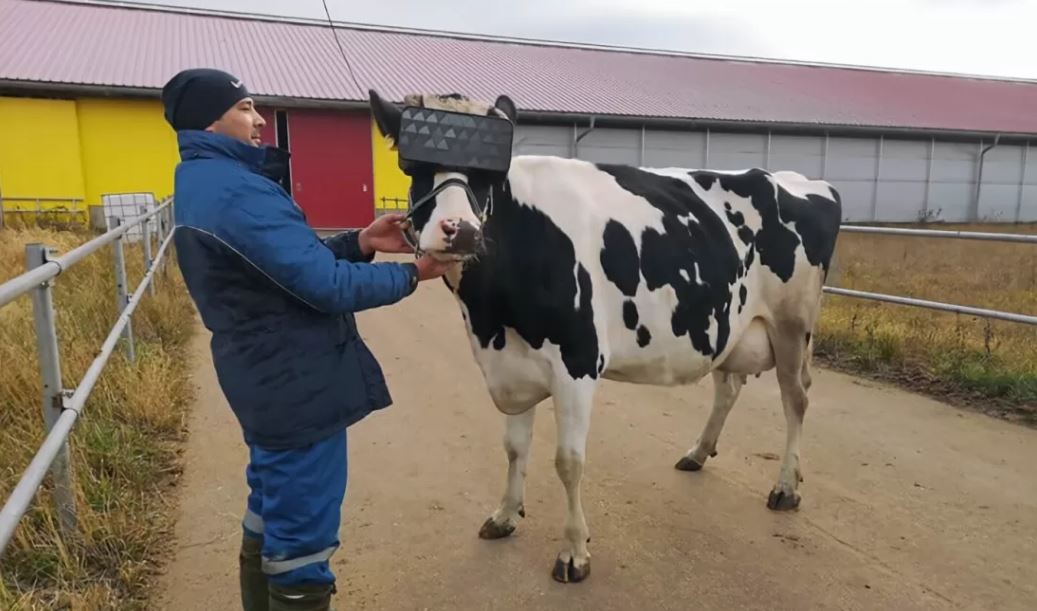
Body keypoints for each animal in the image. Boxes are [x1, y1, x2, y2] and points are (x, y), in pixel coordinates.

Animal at [371, 89, 842, 580]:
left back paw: (786, 487)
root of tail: (801, 181)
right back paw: (698, 452)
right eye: (414, 168)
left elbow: (568, 462)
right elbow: (515, 448)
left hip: (793, 325)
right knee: (729, 386)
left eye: (490, 176)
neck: (490, 318)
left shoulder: (577, 362)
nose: (460, 230)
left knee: (796, 398)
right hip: (729, 323)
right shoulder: (511, 365)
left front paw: (574, 551)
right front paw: (505, 515)